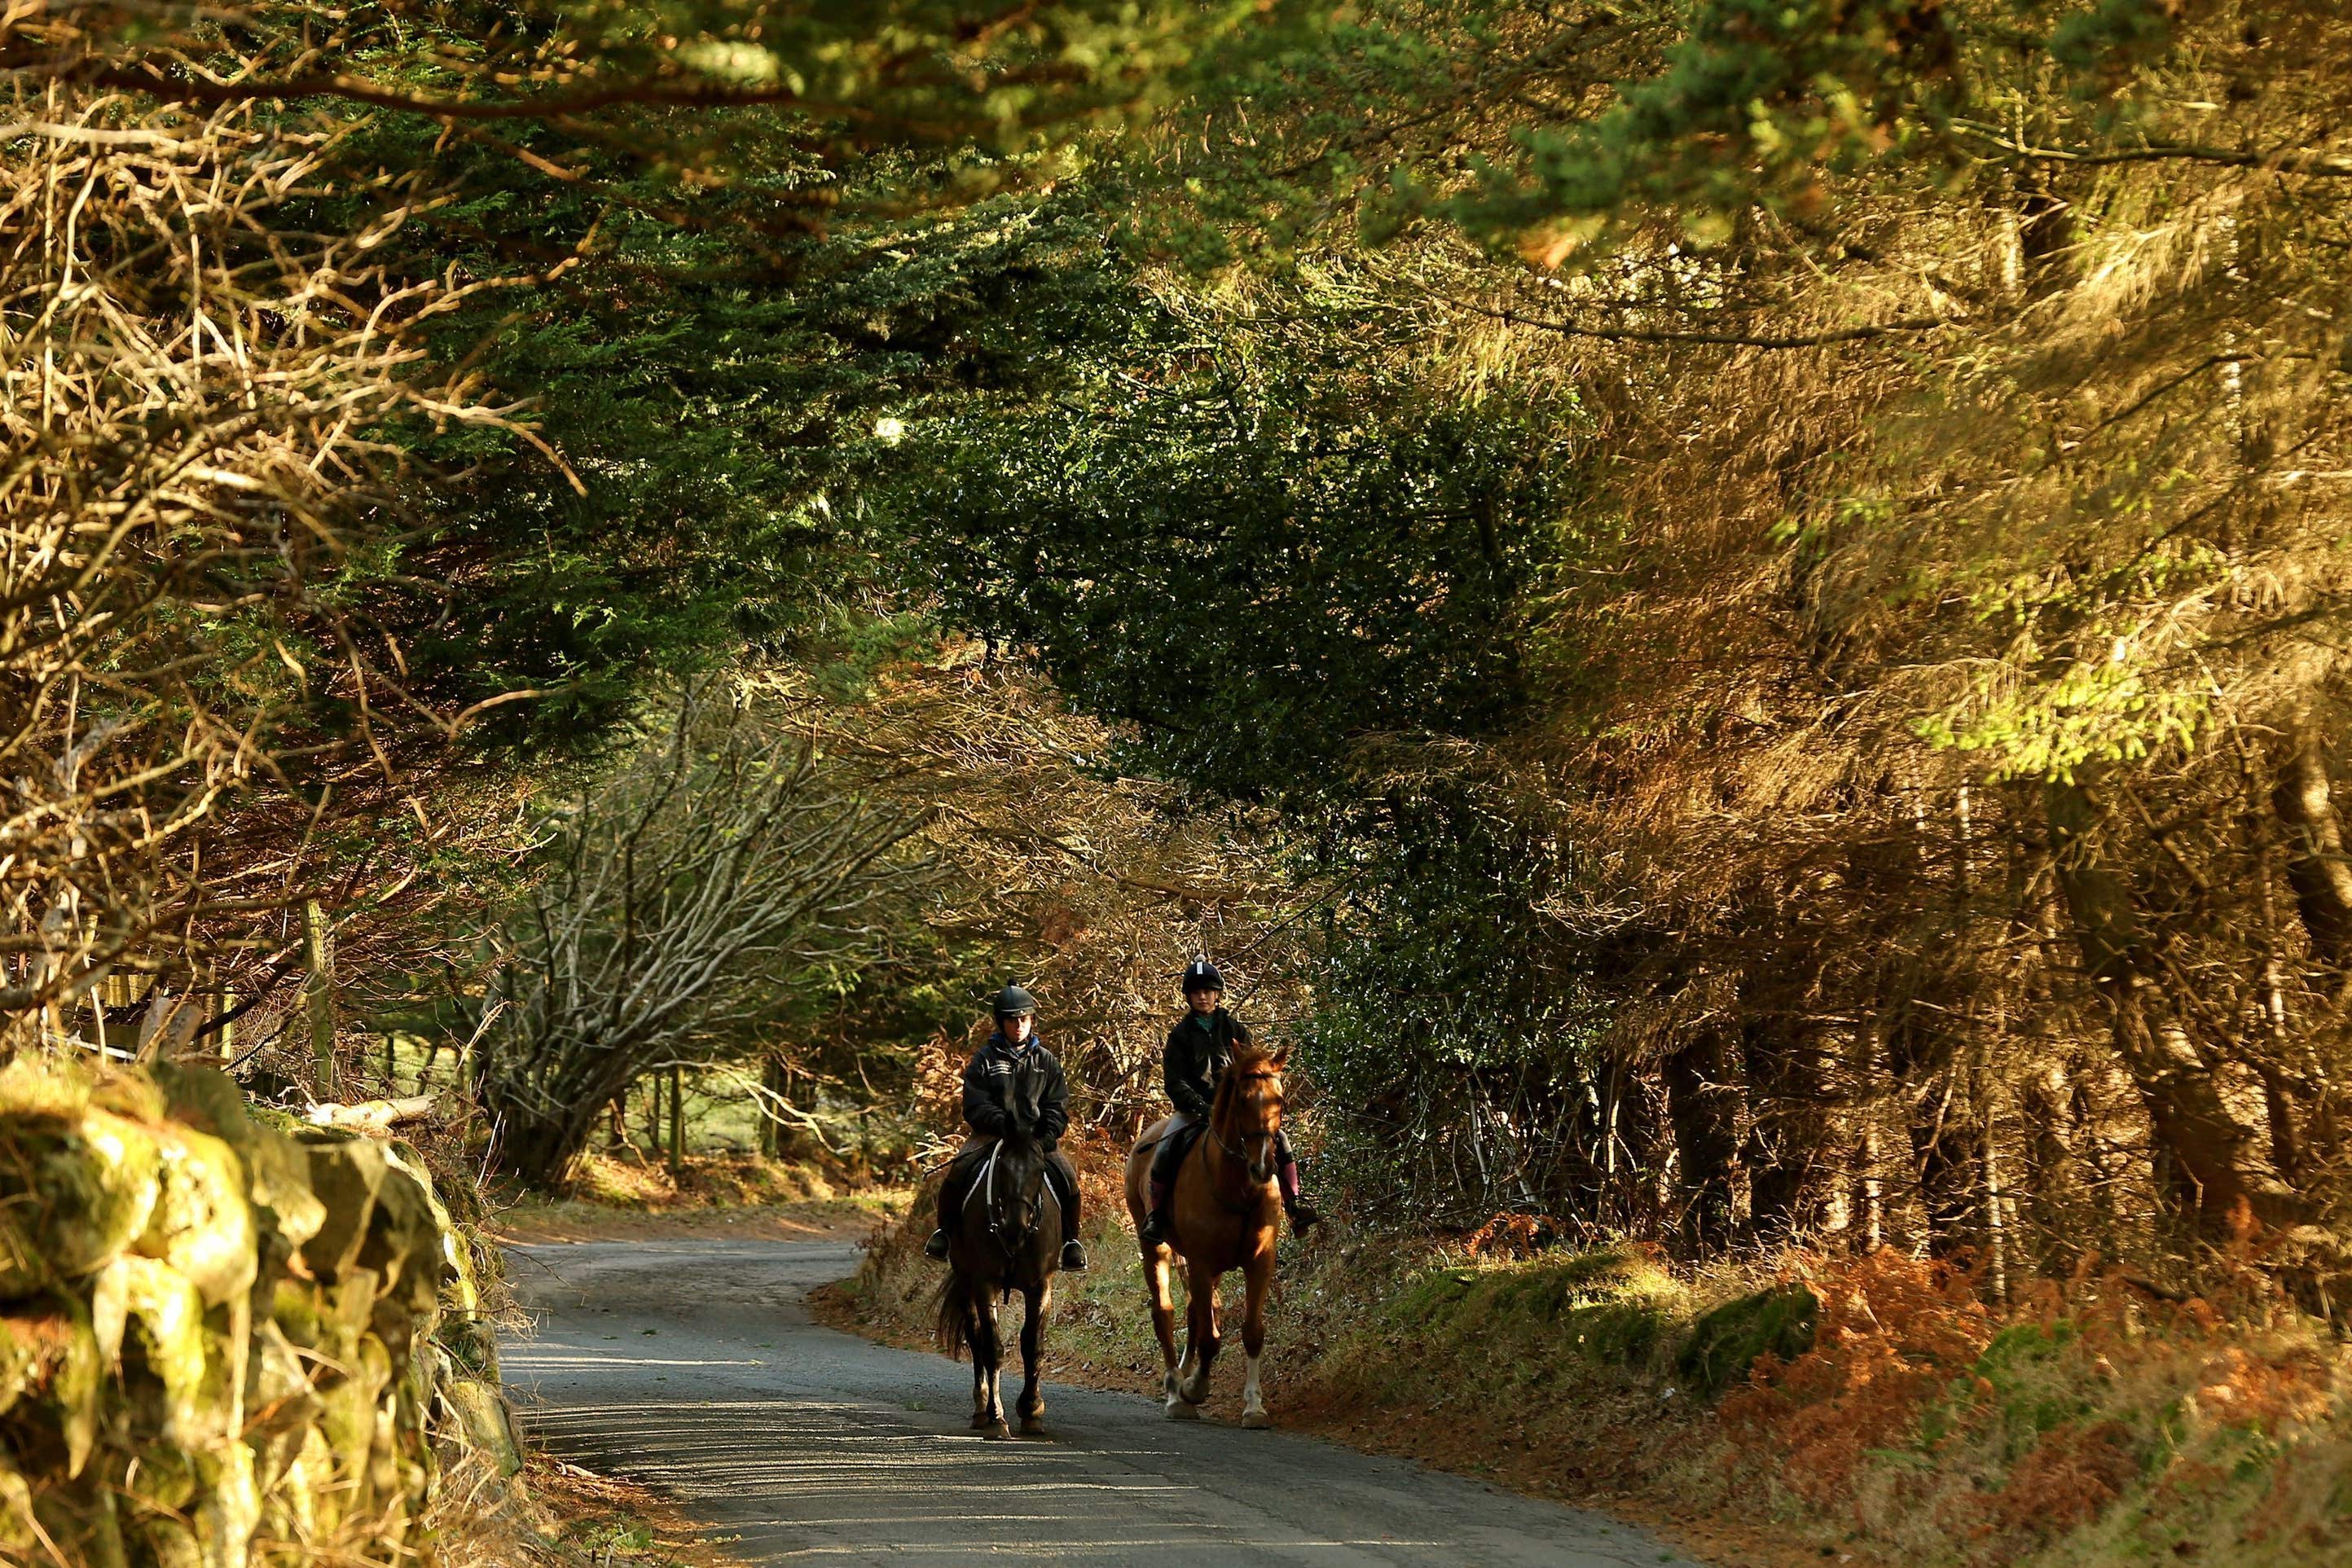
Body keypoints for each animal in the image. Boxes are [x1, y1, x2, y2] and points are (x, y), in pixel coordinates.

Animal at [931, 1133, 1062, 1438]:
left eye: (1039, 1169)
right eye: (1002, 1167)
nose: (1015, 1229)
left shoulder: (1040, 1286)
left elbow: (1032, 1345)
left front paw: (1032, 1410)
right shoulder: (984, 1283)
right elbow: (992, 1348)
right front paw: (996, 1418)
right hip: (966, 1284)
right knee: (976, 1339)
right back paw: (981, 1411)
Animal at [1119, 1048, 1289, 1429]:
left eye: (1280, 1099)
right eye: (1242, 1099)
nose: (1262, 1167)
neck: (1237, 1188)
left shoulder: (1260, 1262)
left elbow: (1251, 1332)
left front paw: (1254, 1407)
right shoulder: (1201, 1263)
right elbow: (1211, 1338)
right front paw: (1194, 1388)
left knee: (1195, 1312)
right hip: (1156, 1248)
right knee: (1165, 1313)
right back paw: (1175, 1391)